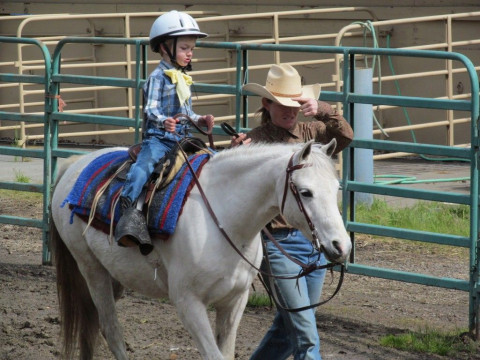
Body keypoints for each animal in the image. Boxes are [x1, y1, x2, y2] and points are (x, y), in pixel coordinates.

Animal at [50, 139, 350, 358]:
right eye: (305, 192)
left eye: (336, 187)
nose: (341, 245)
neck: (224, 217)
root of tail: (75, 164)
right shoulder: (188, 303)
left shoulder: (234, 301)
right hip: (91, 269)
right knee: (110, 329)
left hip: (115, 277)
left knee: (91, 327)